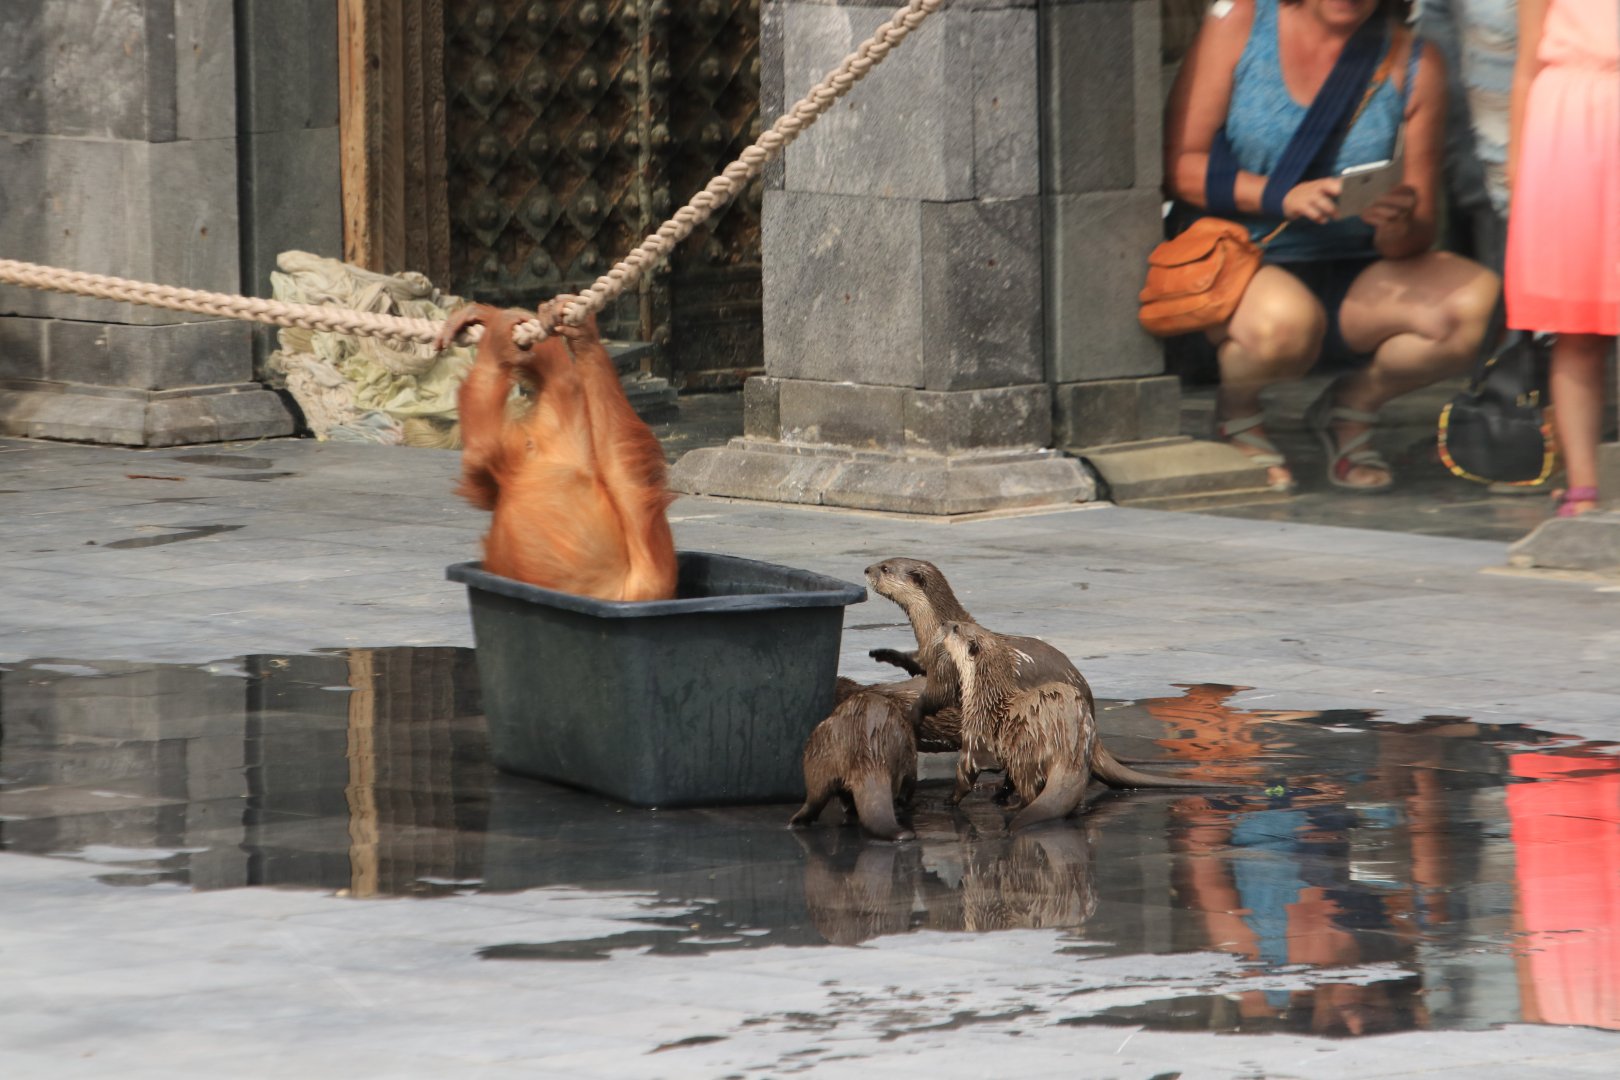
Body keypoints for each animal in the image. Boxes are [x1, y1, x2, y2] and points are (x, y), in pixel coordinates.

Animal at [865, 557, 1198, 791]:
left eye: (886, 567)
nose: (866, 569)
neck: (934, 632)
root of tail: (1092, 723)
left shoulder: (946, 665)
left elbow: (936, 695)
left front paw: (914, 712)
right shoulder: (928, 657)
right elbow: (914, 663)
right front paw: (883, 653)